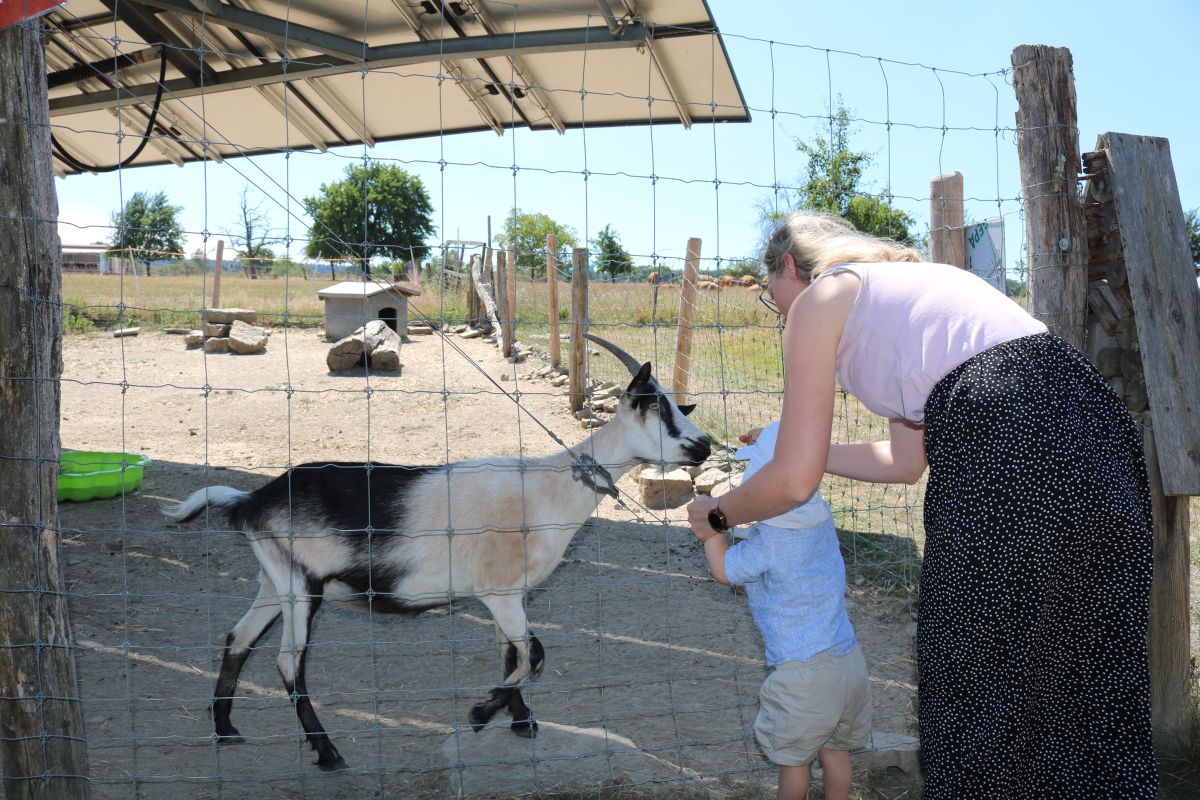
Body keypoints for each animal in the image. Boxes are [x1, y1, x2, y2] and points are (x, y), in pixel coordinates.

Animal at [154, 335, 705, 772]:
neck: (546, 489)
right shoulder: (500, 591)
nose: (703, 445)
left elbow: (511, 651)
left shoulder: (507, 596)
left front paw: (518, 720)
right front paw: (482, 713)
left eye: (679, 409)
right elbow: (535, 653)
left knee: (238, 638)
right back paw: (328, 752)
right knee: (288, 663)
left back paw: (226, 728)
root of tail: (252, 501)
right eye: (656, 408)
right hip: (300, 588)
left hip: (274, 580)